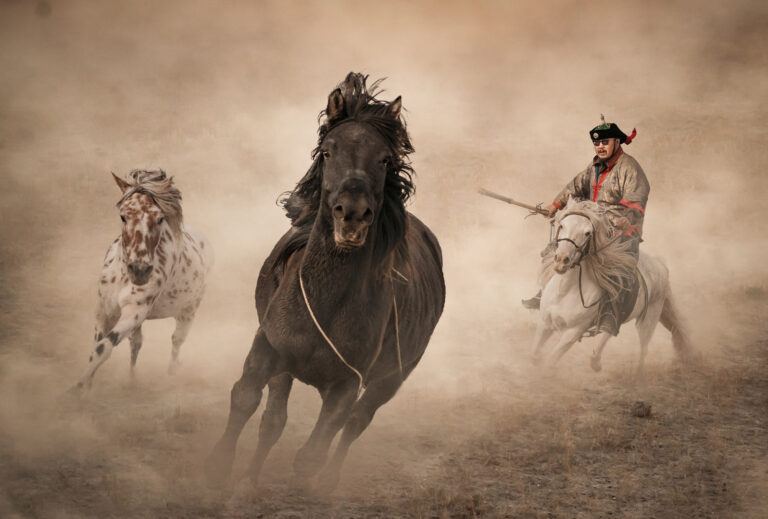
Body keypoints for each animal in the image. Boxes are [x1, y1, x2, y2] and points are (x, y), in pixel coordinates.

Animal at [73, 169, 213, 390]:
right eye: (123, 216)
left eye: (160, 218)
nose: (140, 271)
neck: (122, 277)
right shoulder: (104, 310)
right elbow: (98, 346)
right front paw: (85, 387)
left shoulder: (134, 311)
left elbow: (103, 348)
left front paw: (75, 390)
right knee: (136, 344)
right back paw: (132, 380)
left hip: (188, 312)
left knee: (176, 341)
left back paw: (171, 373)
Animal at [205, 73, 445, 491]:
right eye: (328, 152)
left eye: (384, 159)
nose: (352, 215)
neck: (325, 304)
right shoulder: (270, 348)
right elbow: (247, 398)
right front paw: (222, 468)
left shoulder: (348, 384)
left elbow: (314, 452)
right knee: (274, 421)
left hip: (391, 379)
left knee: (355, 424)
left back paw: (331, 483)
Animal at [531, 198, 693, 372]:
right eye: (562, 225)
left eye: (588, 233)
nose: (562, 260)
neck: (565, 291)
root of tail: (660, 264)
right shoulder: (545, 323)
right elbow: (535, 355)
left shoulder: (572, 333)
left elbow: (550, 362)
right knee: (609, 333)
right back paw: (596, 362)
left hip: (648, 320)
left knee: (642, 349)